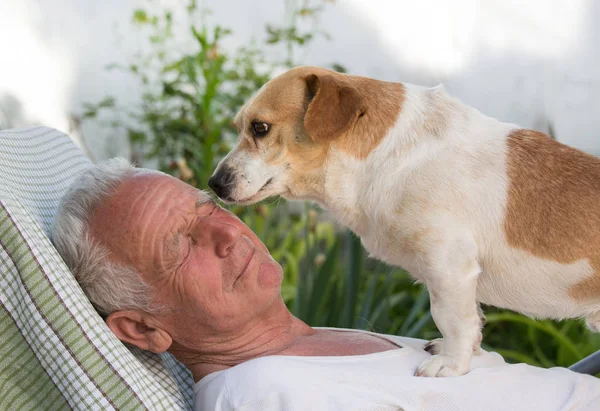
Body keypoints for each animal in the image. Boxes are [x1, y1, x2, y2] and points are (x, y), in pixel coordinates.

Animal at [209, 66, 600, 378]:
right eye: (241, 127)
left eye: (260, 128)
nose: (214, 183)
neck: (393, 154)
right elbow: (472, 322)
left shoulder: (449, 267)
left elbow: (452, 318)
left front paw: (452, 364)